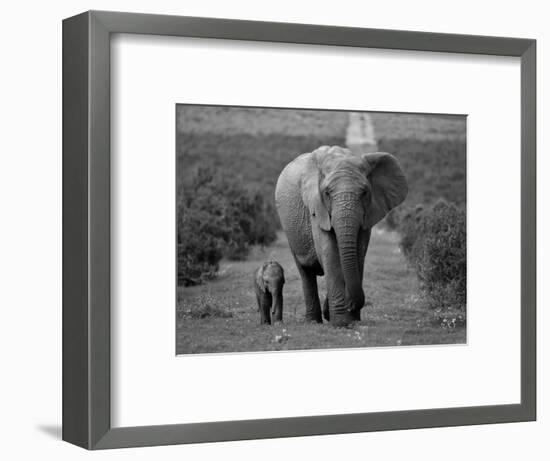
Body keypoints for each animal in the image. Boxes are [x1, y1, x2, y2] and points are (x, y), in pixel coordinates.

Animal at [276, 146, 410, 326]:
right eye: (326, 193)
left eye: (365, 192)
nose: (351, 304)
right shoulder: (317, 209)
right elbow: (331, 253)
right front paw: (341, 323)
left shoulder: (368, 214)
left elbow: (359, 253)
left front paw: (351, 320)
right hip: (290, 230)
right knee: (305, 272)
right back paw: (313, 322)